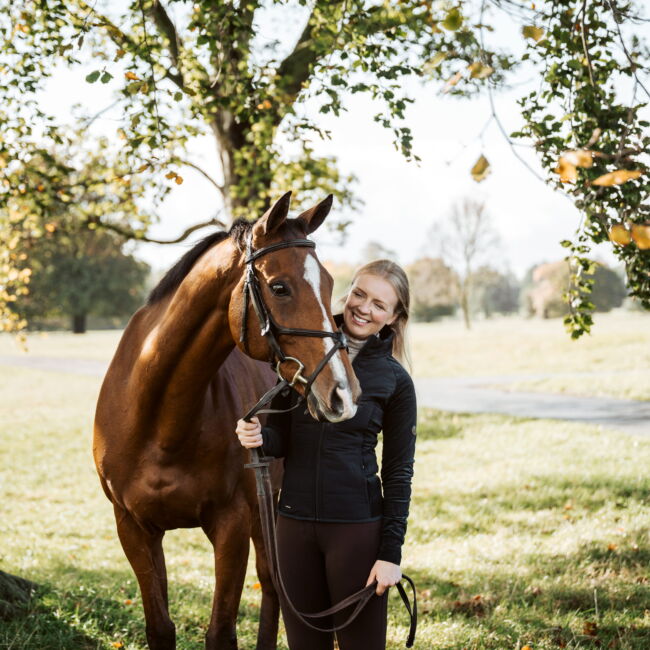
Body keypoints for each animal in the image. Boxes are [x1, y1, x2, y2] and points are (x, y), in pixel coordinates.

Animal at [93, 191, 361, 650]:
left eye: (328, 285)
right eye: (279, 287)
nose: (344, 393)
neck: (158, 424)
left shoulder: (231, 525)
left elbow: (221, 631)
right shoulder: (133, 527)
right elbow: (160, 627)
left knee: (273, 586)